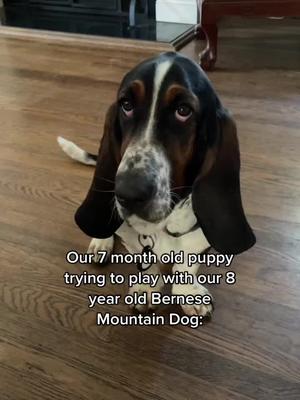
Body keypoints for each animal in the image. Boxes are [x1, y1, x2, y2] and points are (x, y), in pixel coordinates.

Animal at [58, 51, 255, 318]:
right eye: (127, 105)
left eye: (183, 110)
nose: (127, 193)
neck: (163, 224)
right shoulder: (133, 240)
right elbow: (145, 263)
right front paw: (147, 288)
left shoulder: (198, 238)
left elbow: (187, 264)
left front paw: (189, 293)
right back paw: (101, 243)